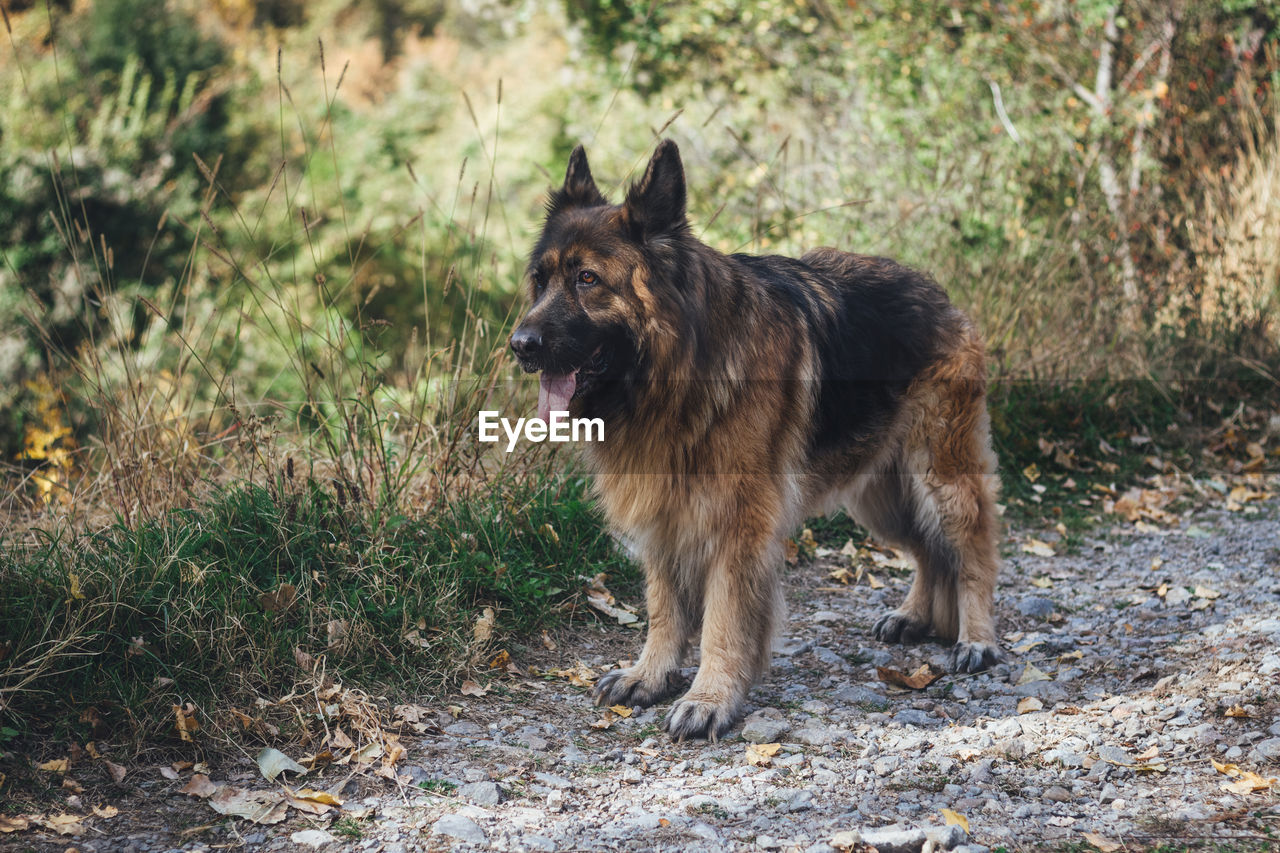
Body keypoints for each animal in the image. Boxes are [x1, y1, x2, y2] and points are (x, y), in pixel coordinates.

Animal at [509, 139, 998, 737]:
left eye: (587, 279)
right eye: (540, 280)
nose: (520, 345)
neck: (680, 373)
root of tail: (936, 290)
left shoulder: (738, 523)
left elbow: (723, 618)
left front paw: (710, 697)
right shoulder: (664, 511)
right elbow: (663, 607)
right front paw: (650, 675)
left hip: (939, 478)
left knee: (971, 548)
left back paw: (977, 639)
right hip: (879, 496)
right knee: (929, 550)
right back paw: (915, 617)